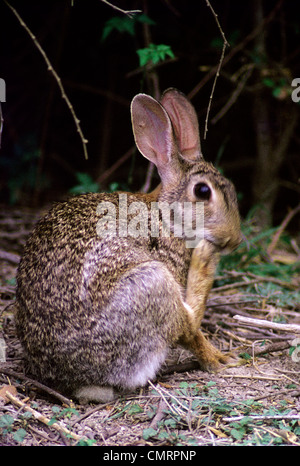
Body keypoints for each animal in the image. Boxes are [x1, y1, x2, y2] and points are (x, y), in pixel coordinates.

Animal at [15, 88, 241, 404]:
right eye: (202, 191)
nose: (233, 238)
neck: (166, 217)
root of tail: (81, 380)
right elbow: (188, 334)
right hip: (153, 282)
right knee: (186, 326)